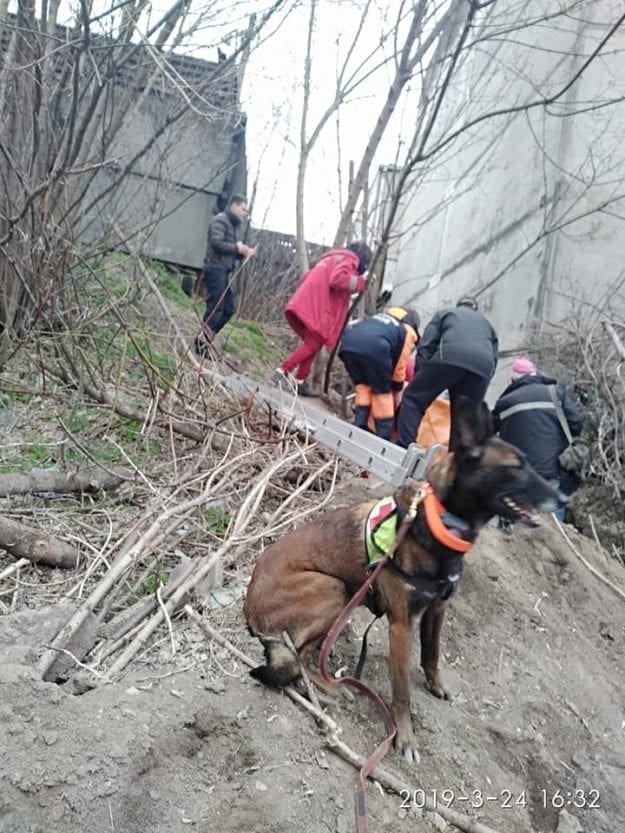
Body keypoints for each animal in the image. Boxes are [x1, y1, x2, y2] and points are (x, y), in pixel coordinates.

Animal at [241, 398, 564, 760]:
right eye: (517, 466)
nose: (562, 499)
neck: (438, 521)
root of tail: (249, 606)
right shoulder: (401, 626)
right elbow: (402, 689)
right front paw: (405, 737)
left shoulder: (437, 608)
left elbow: (432, 654)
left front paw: (436, 686)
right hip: (335, 589)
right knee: (299, 656)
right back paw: (328, 687)